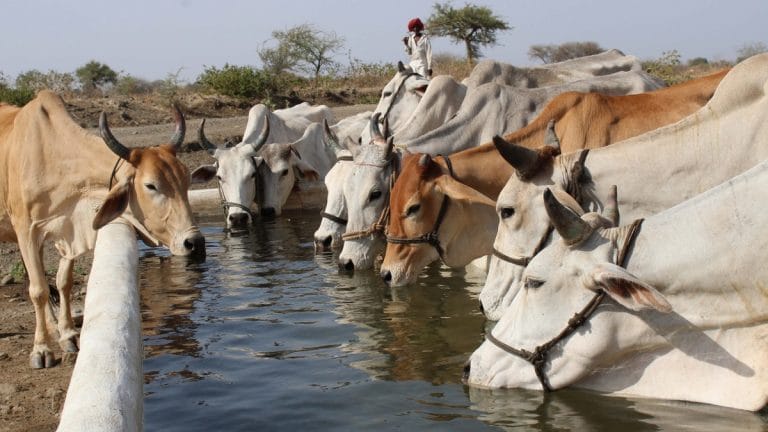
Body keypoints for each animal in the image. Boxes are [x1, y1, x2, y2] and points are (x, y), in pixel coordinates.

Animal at [0, 90, 205, 368]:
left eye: (187, 180)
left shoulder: (69, 233)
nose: (195, 243)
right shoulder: (27, 231)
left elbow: (63, 282)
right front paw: (41, 349)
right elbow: (38, 291)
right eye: (151, 185)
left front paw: (68, 335)